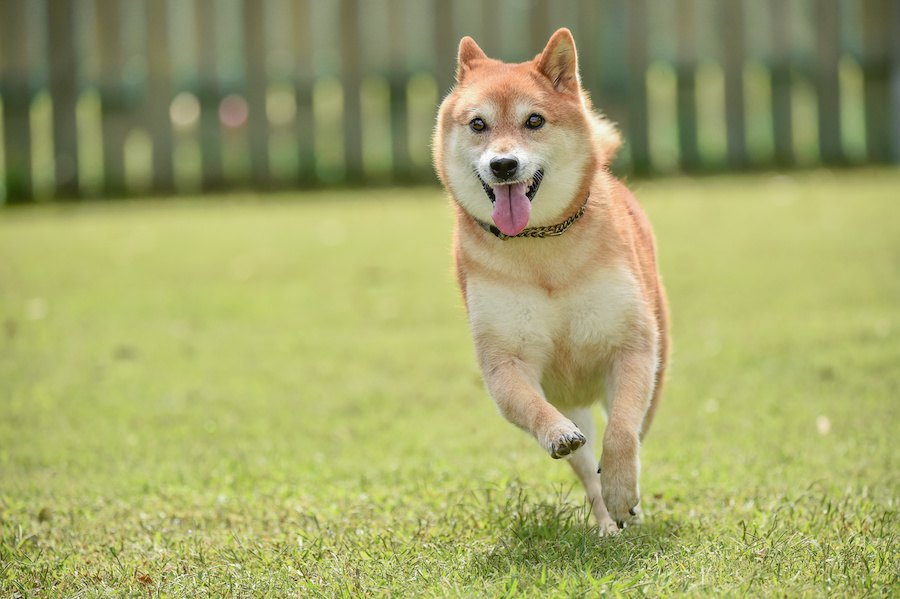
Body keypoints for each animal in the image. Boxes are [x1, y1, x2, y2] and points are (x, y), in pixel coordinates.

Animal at [432, 27, 672, 536]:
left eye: (534, 120)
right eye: (478, 124)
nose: (503, 165)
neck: (542, 245)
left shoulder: (632, 347)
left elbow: (622, 432)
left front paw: (623, 487)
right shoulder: (504, 361)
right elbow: (531, 405)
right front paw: (558, 434)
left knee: (631, 431)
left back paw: (627, 510)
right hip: (572, 401)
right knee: (587, 470)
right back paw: (605, 523)